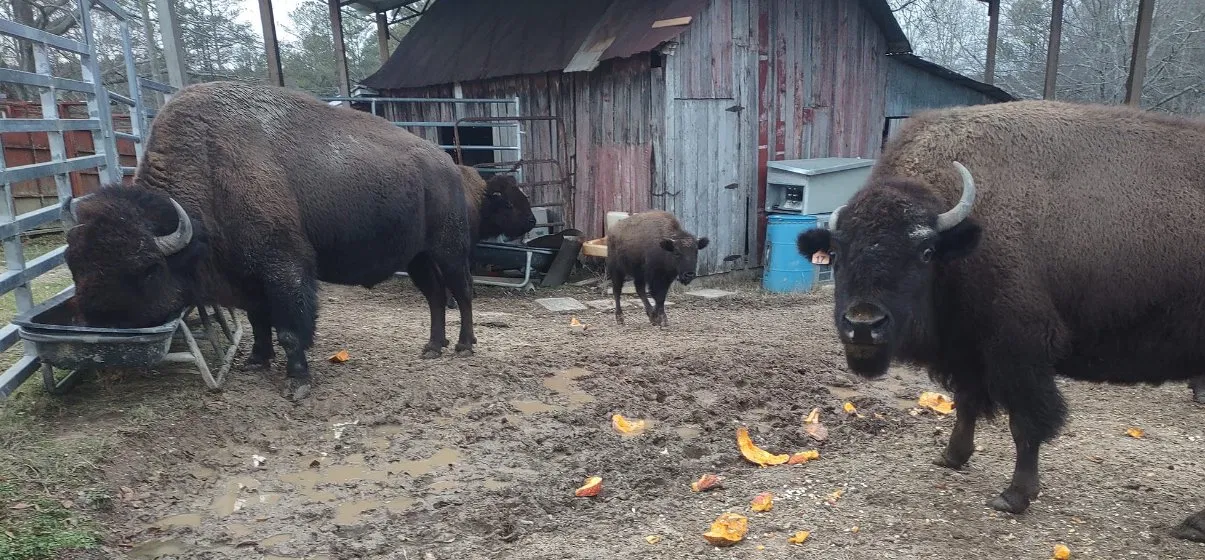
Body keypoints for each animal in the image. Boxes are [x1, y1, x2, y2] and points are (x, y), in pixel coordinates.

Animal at [62, 81, 478, 400]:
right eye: (73, 263)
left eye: (148, 269)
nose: (100, 324)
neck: (210, 169)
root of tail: (446, 164)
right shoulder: (247, 279)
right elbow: (259, 321)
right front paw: (255, 361)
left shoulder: (284, 269)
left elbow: (291, 330)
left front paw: (297, 383)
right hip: (416, 257)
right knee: (435, 295)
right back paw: (432, 347)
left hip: (448, 250)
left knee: (460, 290)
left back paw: (463, 346)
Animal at [795, 100, 1205, 542]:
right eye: (836, 253)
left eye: (924, 252)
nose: (863, 324)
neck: (963, 240)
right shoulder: (968, 350)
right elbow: (967, 403)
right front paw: (951, 457)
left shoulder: (1018, 353)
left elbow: (1026, 423)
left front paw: (1014, 496)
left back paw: (1191, 524)